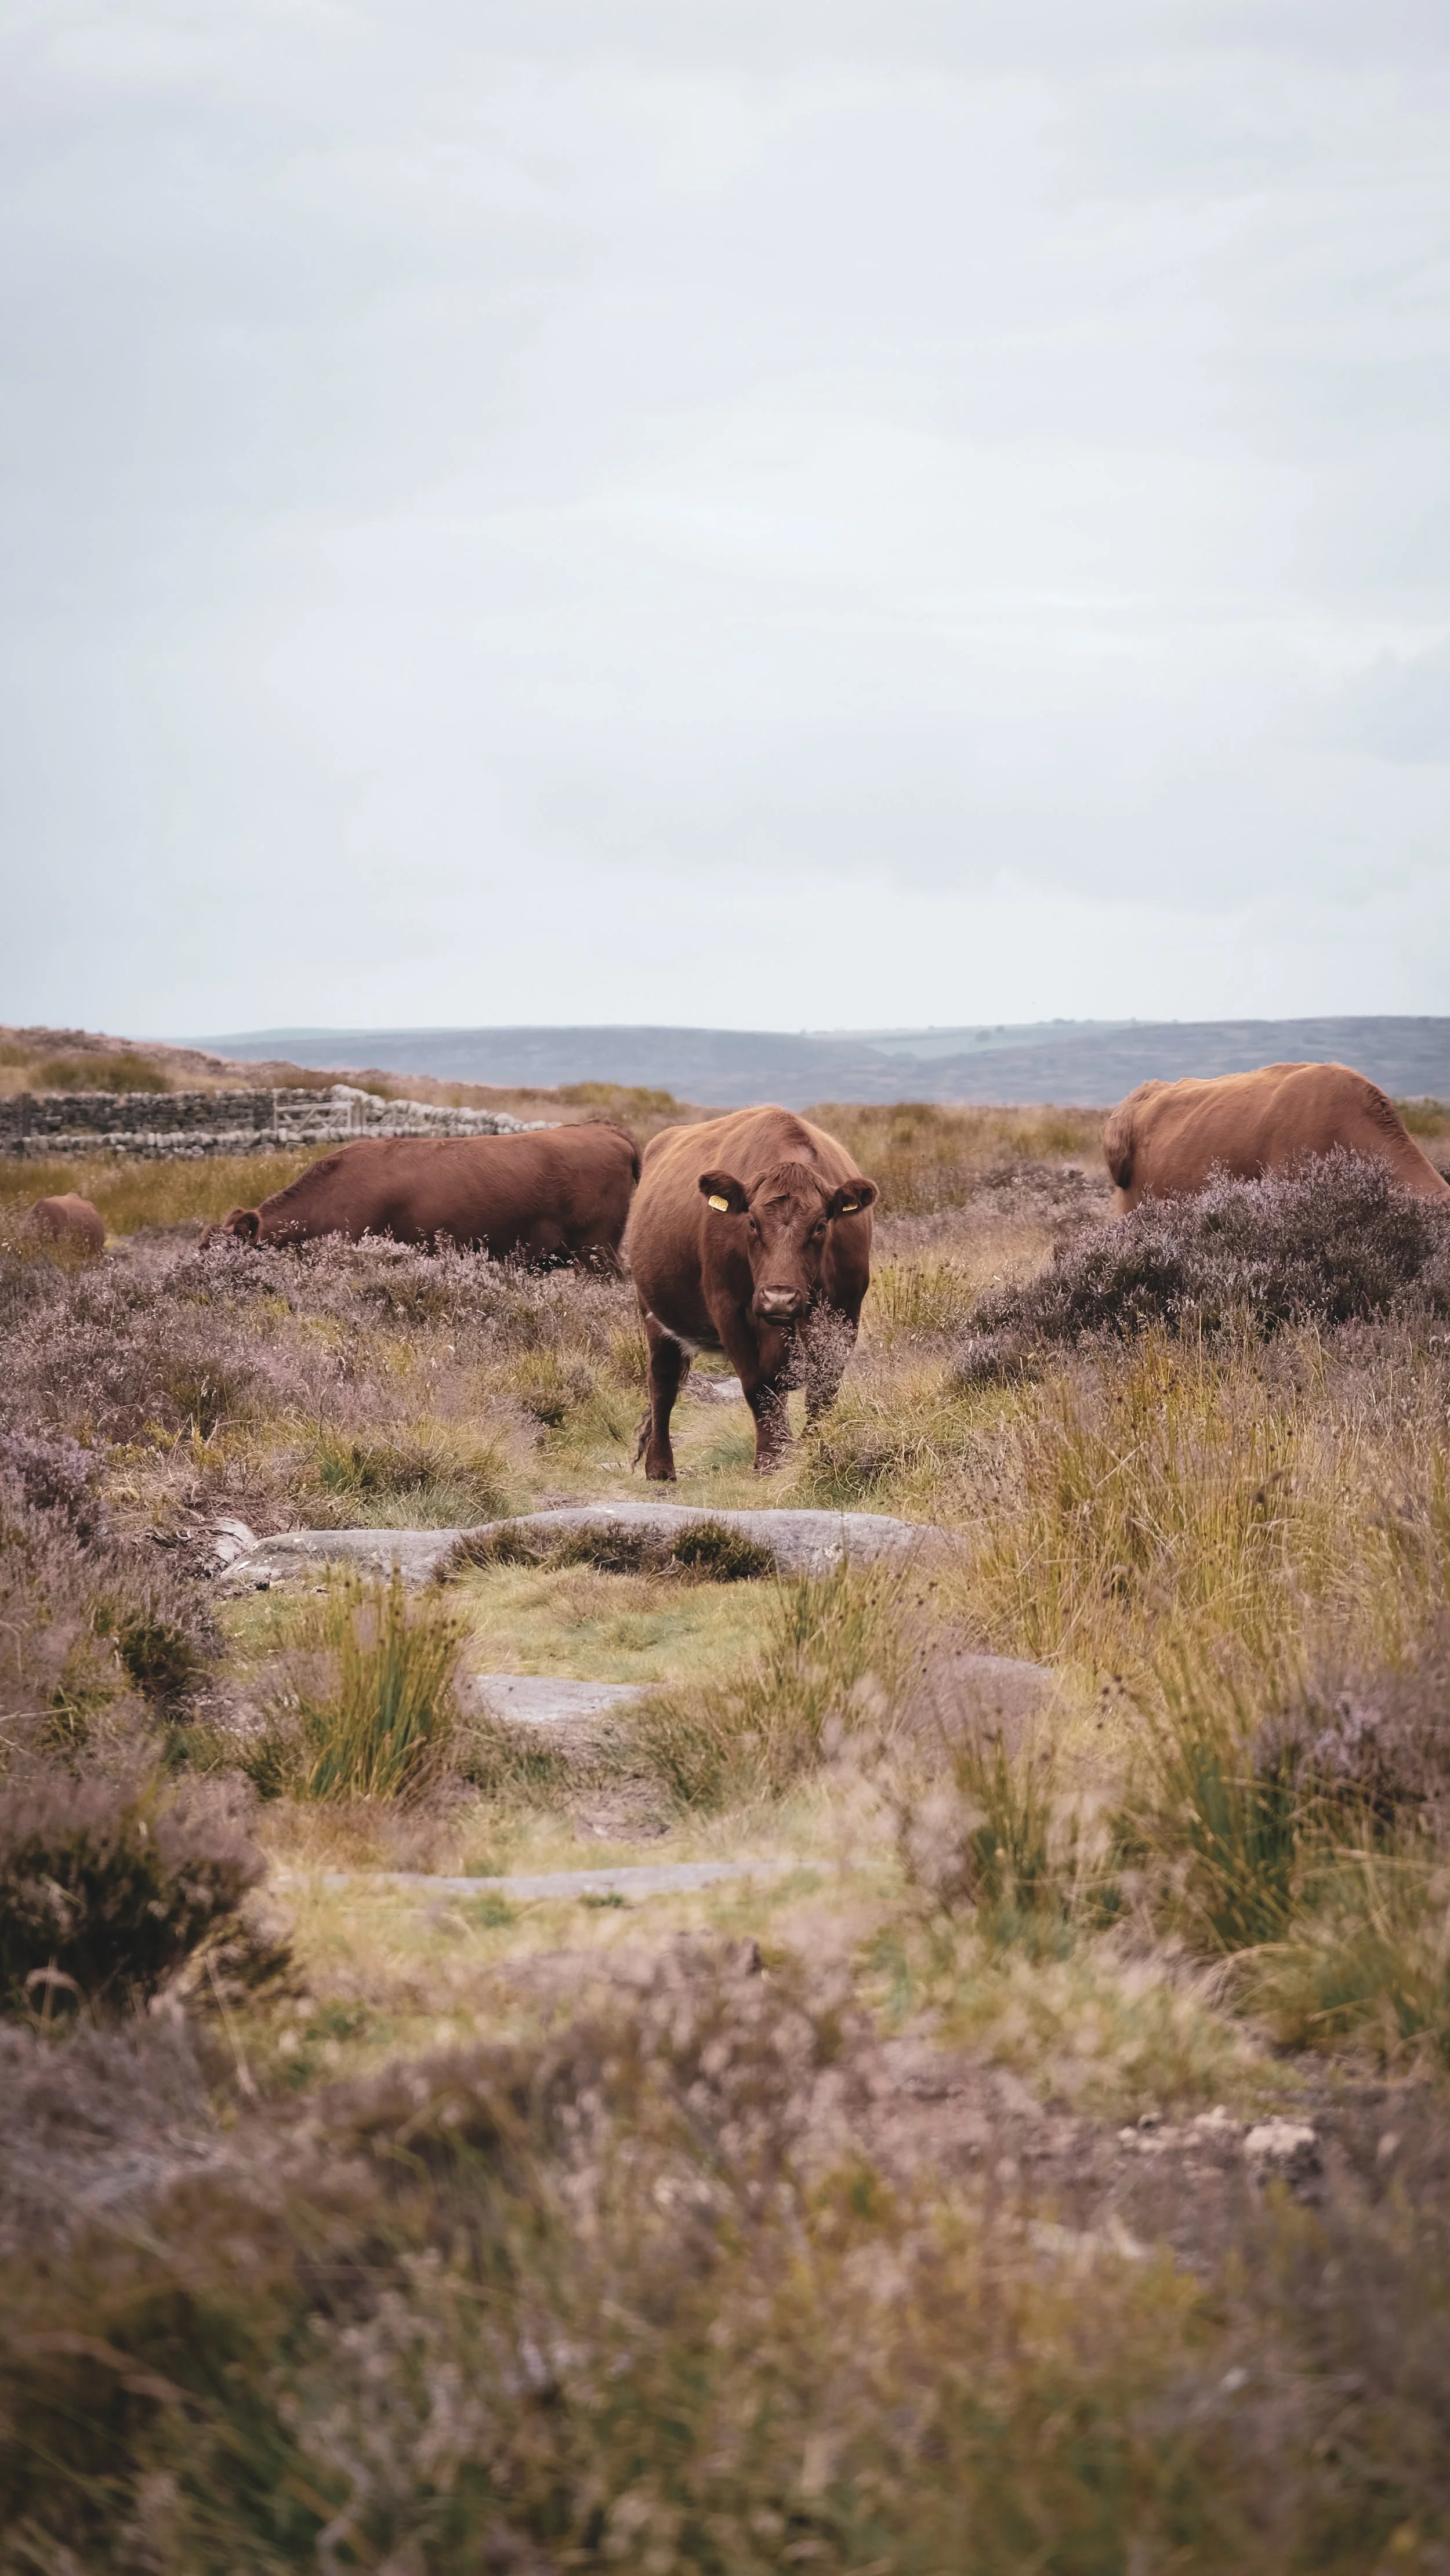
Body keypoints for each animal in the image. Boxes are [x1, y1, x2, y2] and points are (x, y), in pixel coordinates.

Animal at [627, 1106, 878, 1480]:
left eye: (820, 1225)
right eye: (752, 1223)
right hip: (654, 1313)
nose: (779, 1298)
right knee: (663, 1383)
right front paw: (772, 1458)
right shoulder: (730, 1309)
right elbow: (758, 1384)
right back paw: (660, 1467)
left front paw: (812, 1448)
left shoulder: (846, 1312)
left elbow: (824, 1386)